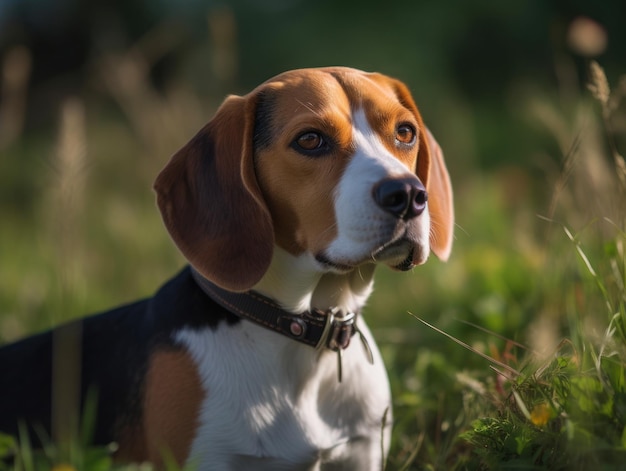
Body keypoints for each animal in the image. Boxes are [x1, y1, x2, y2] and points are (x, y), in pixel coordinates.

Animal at [0, 67, 450, 471]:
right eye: (310, 140)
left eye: (405, 132)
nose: (408, 194)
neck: (300, 337)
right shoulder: (208, 458)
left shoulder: (362, 453)